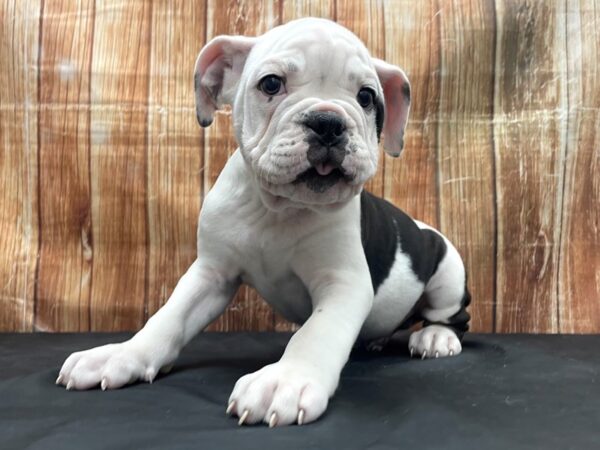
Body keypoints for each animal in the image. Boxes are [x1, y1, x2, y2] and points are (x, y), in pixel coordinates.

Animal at [56, 16, 472, 426]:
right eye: (271, 84)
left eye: (367, 97)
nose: (328, 121)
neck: (278, 208)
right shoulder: (211, 274)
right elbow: (169, 316)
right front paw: (123, 354)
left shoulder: (343, 283)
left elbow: (315, 333)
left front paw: (285, 380)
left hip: (447, 273)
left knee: (453, 317)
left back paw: (435, 338)